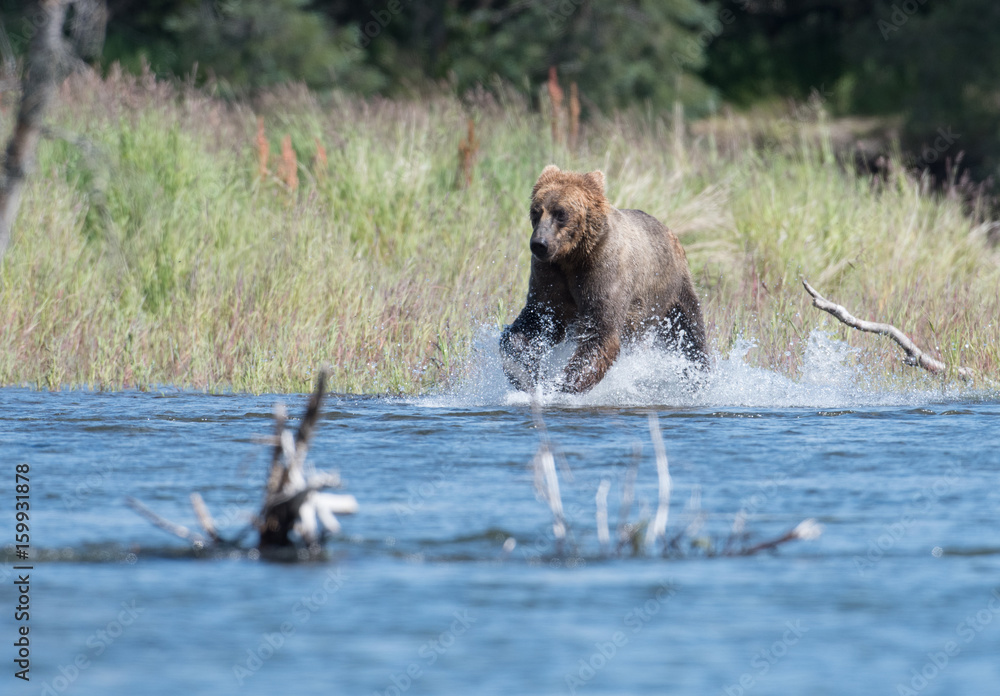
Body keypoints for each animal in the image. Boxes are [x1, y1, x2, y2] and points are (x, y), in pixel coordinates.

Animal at [500, 164, 708, 394]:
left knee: (691, 334)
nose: (539, 243)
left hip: (672, 291)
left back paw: (698, 378)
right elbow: (537, 320)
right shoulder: (549, 277)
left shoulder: (603, 271)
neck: (572, 257)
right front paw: (526, 372)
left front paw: (561, 385)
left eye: (561, 213)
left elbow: (601, 333)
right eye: (536, 211)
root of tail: (670, 232)